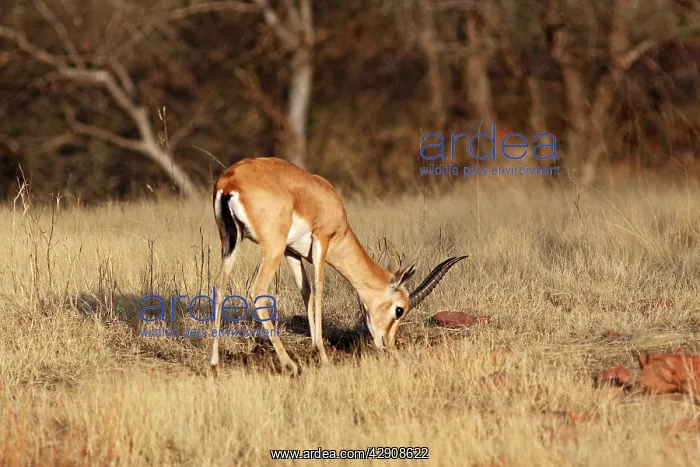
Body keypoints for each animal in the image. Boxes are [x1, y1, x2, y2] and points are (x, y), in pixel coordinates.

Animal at [210, 157, 467, 375]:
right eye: (399, 310)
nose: (388, 344)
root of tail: (230, 180)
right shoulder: (321, 240)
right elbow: (319, 289)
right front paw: (323, 356)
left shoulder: (292, 252)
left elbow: (306, 291)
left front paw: (315, 348)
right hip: (271, 248)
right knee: (258, 292)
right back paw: (291, 365)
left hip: (230, 241)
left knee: (219, 285)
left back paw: (214, 363)